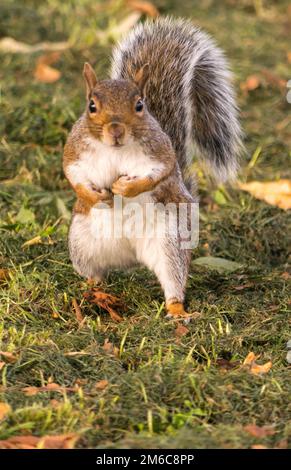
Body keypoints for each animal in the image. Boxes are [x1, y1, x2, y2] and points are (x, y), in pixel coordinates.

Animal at [64, 16, 244, 322]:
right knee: (94, 274)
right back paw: (93, 292)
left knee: (173, 280)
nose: (116, 130)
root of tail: (130, 256)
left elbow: (158, 173)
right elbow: (73, 174)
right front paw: (95, 195)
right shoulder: (75, 151)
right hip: (82, 243)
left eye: (139, 105)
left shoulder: (160, 153)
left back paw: (177, 310)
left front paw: (126, 187)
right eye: (92, 106)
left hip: (169, 242)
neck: (116, 149)